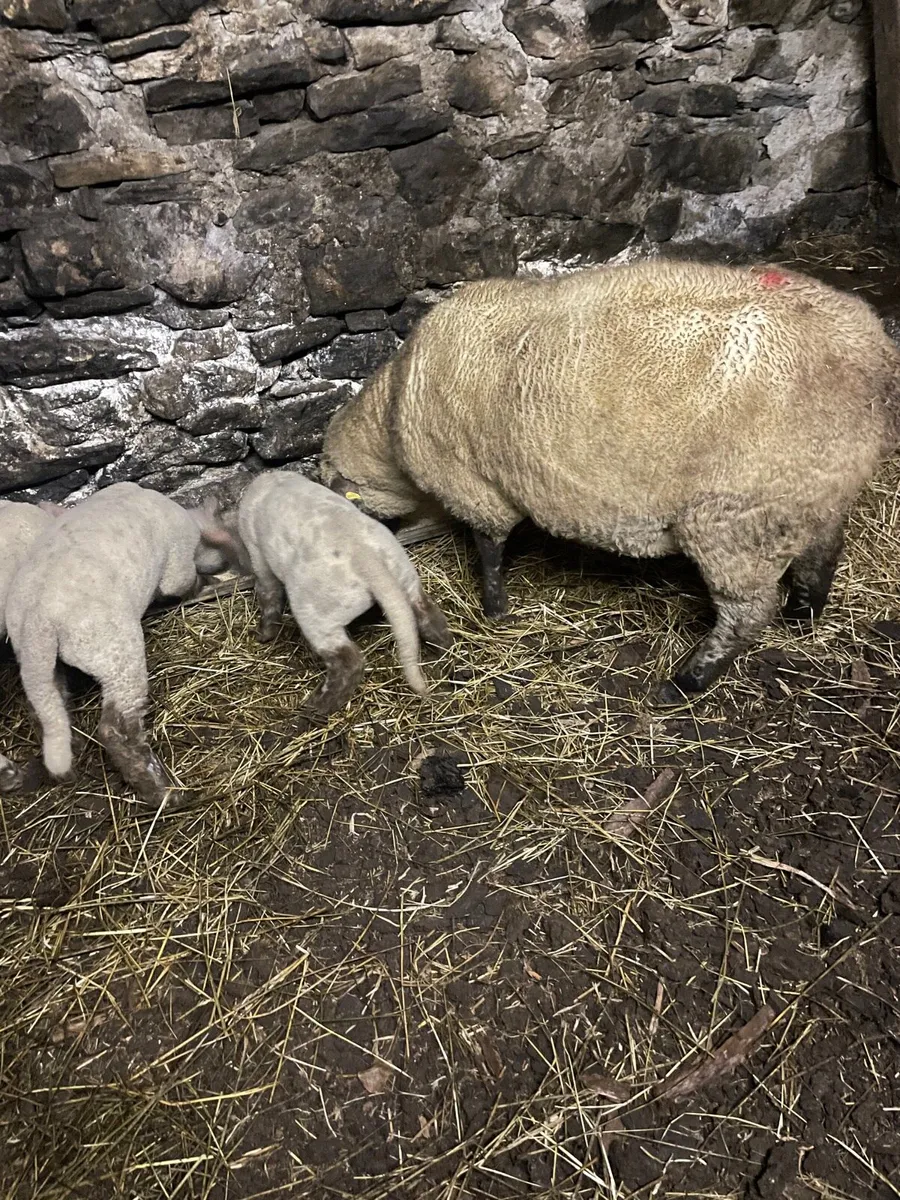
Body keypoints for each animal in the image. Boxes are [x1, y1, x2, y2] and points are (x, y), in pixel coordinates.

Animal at [4, 482, 231, 800]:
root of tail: (40, 621)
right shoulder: (178, 564)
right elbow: (184, 584)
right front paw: (206, 584)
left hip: (36, 660)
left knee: (48, 705)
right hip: (115, 652)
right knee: (116, 728)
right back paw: (160, 790)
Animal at [202, 471, 453, 714]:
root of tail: (368, 561)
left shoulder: (258, 556)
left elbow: (268, 594)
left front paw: (264, 634)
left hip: (317, 615)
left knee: (349, 662)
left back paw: (317, 707)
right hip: (407, 578)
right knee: (429, 617)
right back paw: (448, 653)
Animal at [320, 258, 900, 702]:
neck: (394, 413)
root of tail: (873, 357)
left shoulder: (477, 488)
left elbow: (488, 549)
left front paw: (494, 610)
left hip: (738, 517)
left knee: (748, 612)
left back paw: (686, 682)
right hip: (811, 490)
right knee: (823, 550)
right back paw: (804, 614)